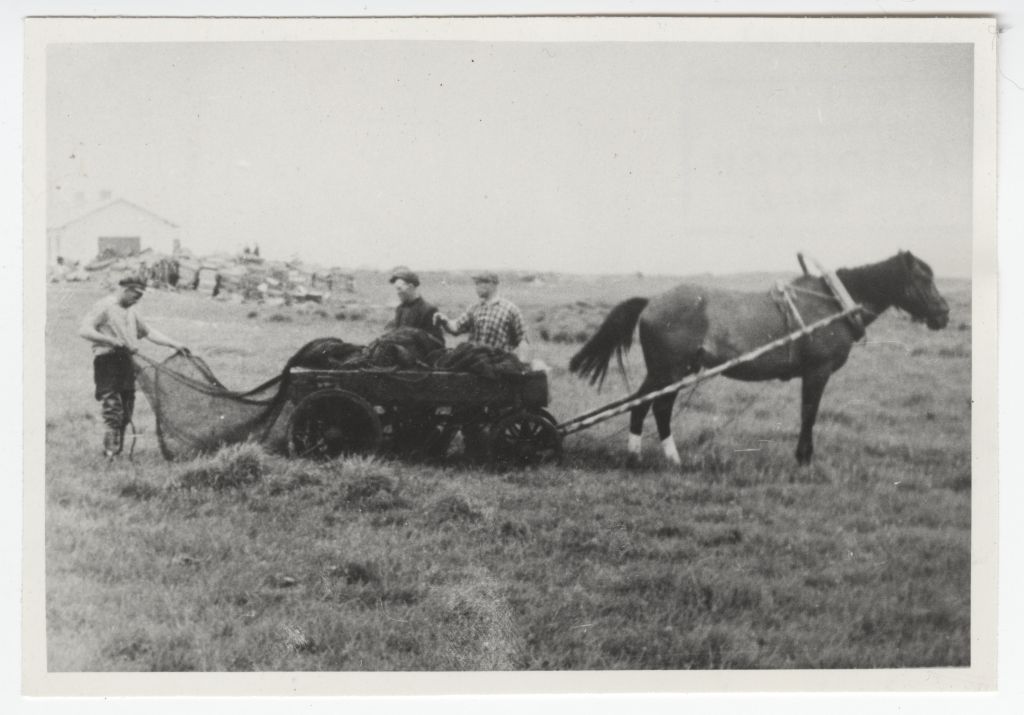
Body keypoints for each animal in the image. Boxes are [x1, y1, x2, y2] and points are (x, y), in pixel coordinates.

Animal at [569, 248, 950, 463]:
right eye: (923, 277)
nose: (944, 313)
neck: (833, 303)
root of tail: (651, 302)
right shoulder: (817, 371)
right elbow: (809, 414)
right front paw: (804, 458)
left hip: (668, 371)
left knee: (642, 405)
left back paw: (638, 455)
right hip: (670, 371)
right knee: (656, 407)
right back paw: (667, 458)